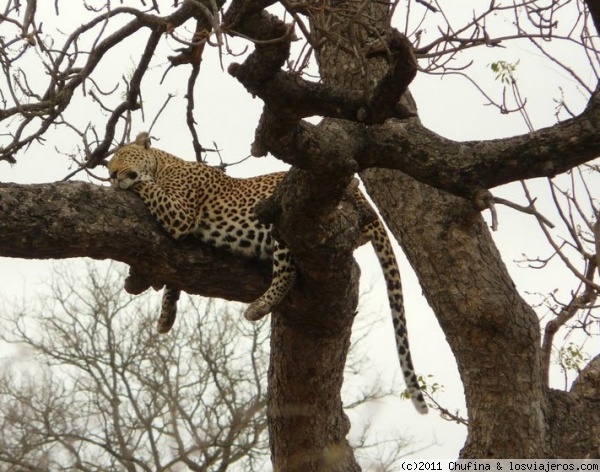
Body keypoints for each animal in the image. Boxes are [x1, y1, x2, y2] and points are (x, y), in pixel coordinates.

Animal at [108, 132, 426, 412]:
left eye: (122, 156)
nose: (111, 175)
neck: (163, 164)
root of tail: (360, 196)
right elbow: (175, 278)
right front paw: (166, 317)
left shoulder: (179, 213)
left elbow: (144, 187)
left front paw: (127, 184)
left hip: (283, 222)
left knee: (288, 273)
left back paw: (258, 307)